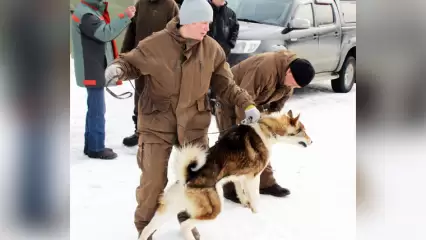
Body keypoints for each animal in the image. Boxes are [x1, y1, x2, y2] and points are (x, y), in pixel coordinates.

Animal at [140, 109, 312, 239]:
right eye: (302, 131)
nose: (312, 142)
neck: (267, 129)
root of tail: (187, 178)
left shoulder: (239, 177)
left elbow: (241, 193)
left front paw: (245, 204)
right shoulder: (252, 178)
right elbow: (255, 199)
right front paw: (257, 214)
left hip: (167, 210)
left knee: (147, 229)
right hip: (213, 210)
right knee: (184, 224)